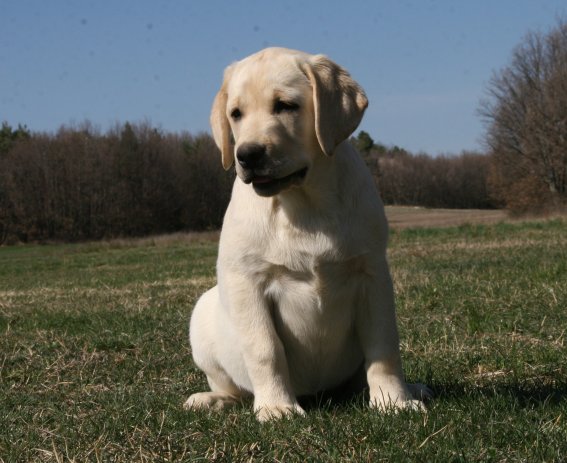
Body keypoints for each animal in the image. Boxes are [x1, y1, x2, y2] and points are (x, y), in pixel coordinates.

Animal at [184, 47, 430, 421]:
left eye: (286, 105)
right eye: (236, 114)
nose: (247, 155)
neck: (303, 203)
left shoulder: (372, 274)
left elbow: (384, 344)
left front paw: (393, 400)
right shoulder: (248, 281)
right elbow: (265, 348)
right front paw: (276, 406)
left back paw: (409, 387)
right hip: (203, 313)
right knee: (233, 387)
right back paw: (212, 399)